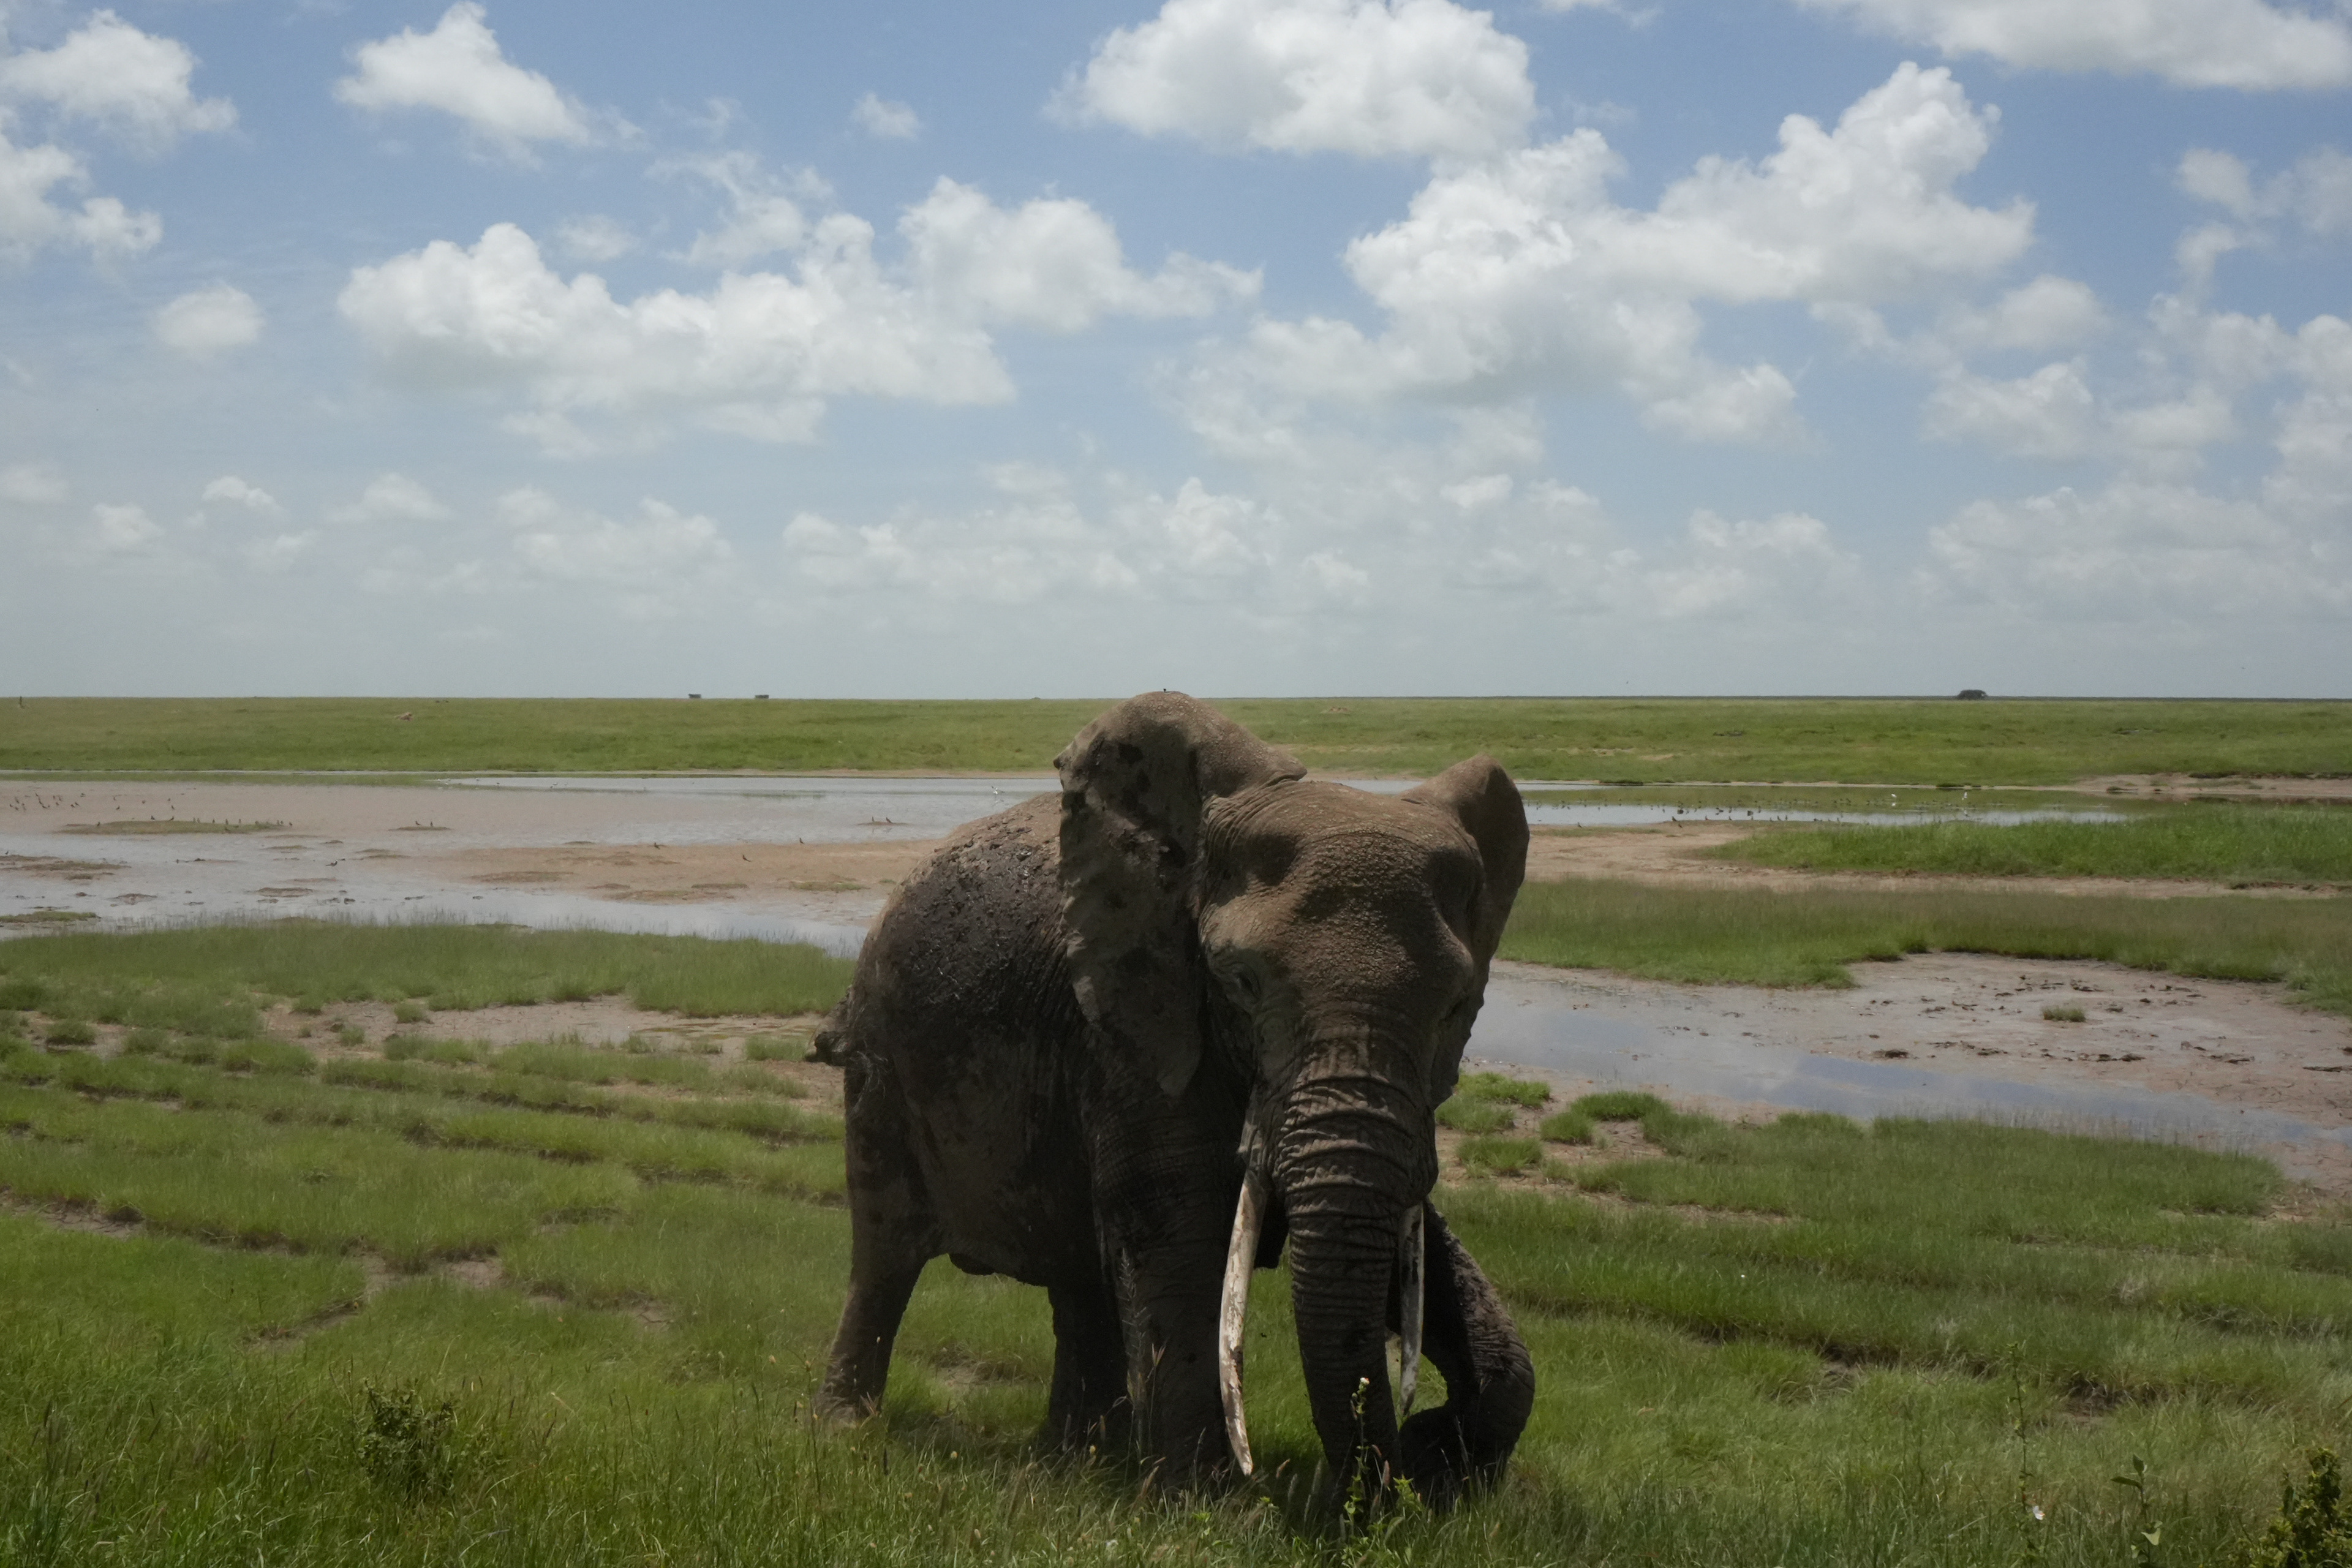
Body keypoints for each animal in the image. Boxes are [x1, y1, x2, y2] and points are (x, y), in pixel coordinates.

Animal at [814, 693, 1534, 1506]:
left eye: (1456, 1005)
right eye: (1242, 981)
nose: (1376, 1484)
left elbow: (1412, 1234)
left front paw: (1443, 1464)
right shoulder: (1134, 1027)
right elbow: (1177, 1231)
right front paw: (1212, 1507)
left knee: (1081, 1278)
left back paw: (1076, 1456)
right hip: (879, 1066)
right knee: (885, 1252)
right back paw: (848, 1428)